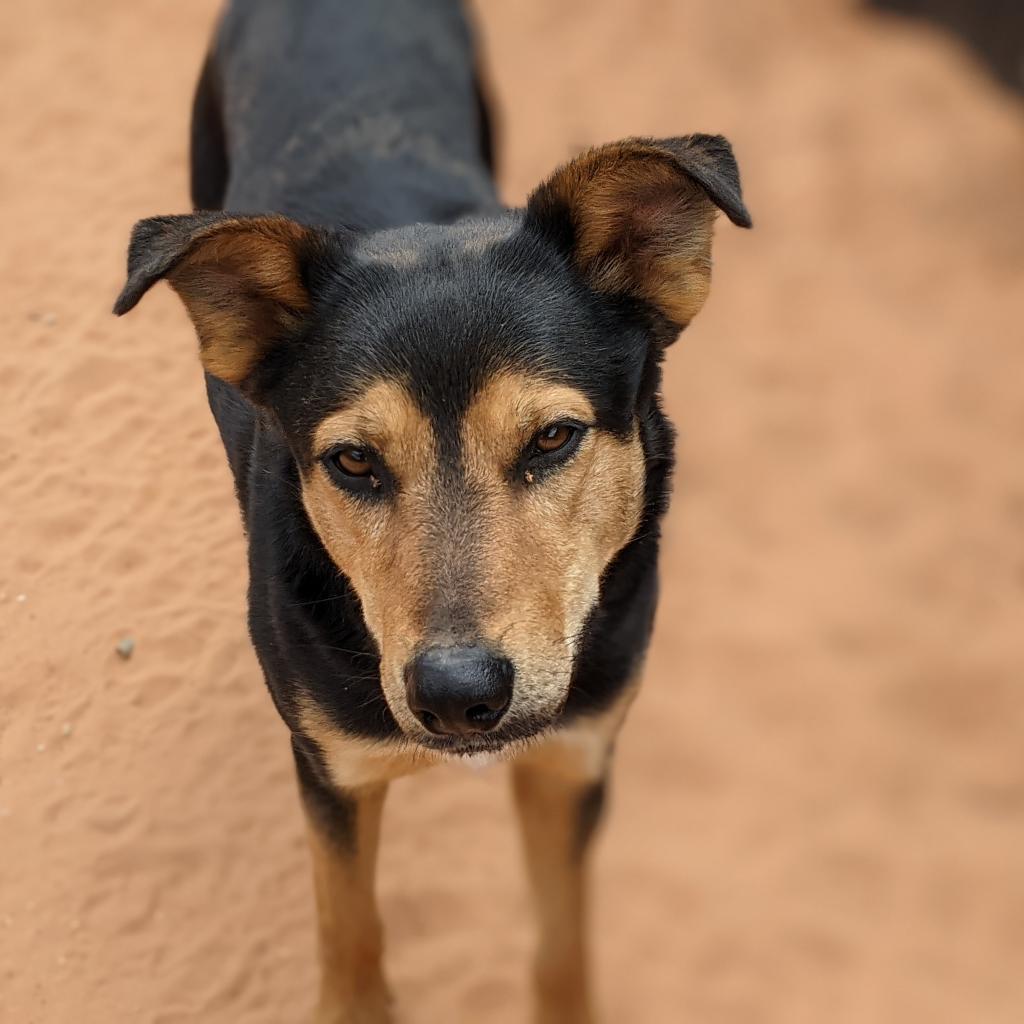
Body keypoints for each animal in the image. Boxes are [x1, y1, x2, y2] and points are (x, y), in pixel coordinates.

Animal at [114, 2, 753, 1024]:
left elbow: (564, 949)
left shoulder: (574, 758)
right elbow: (351, 941)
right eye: (354, 462)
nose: (458, 696)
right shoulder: (333, 773)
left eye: (552, 439)